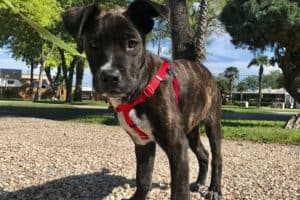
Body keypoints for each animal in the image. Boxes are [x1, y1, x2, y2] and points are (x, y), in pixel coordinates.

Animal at [62, 0, 223, 199]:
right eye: (92, 44)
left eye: (132, 43)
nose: (110, 76)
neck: (139, 88)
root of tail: (204, 69)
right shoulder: (143, 143)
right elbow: (143, 178)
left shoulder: (177, 145)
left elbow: (178, 189)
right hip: (191, 130)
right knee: (203, 154)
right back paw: (200, 182)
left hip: (212, 124)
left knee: (217, 158)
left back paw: (214, 189)